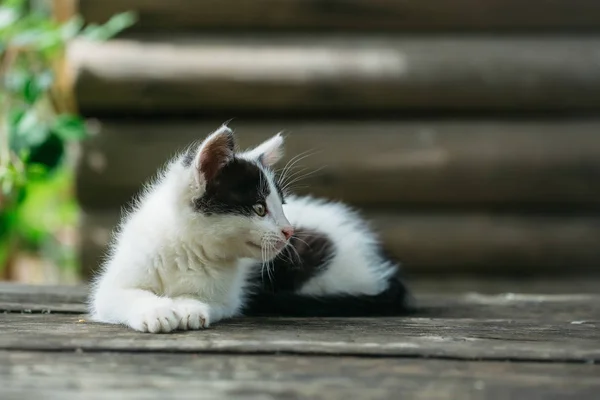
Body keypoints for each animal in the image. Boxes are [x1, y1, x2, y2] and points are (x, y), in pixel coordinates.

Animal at [91, 124, 410, 332]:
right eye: (259, 208)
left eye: (282, 204)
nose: (288, 231)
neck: (188, 248)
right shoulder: (113, 284)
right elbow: (120, 295)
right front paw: (156, 311)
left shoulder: (229, 298)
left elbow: (209, 300)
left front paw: (189, 307)